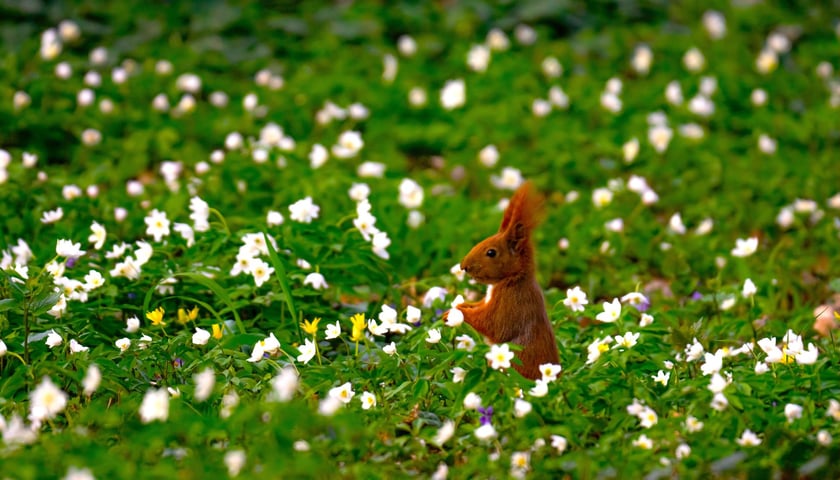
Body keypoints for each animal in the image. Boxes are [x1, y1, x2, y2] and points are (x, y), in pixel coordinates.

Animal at [442, 182, 560, 380]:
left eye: (491, 252)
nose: (463, 266)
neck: (511, 279)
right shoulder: (487, 300)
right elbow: (477, 305)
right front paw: (460, 306)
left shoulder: (511, 303)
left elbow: (492, 324)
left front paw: (456, 312)